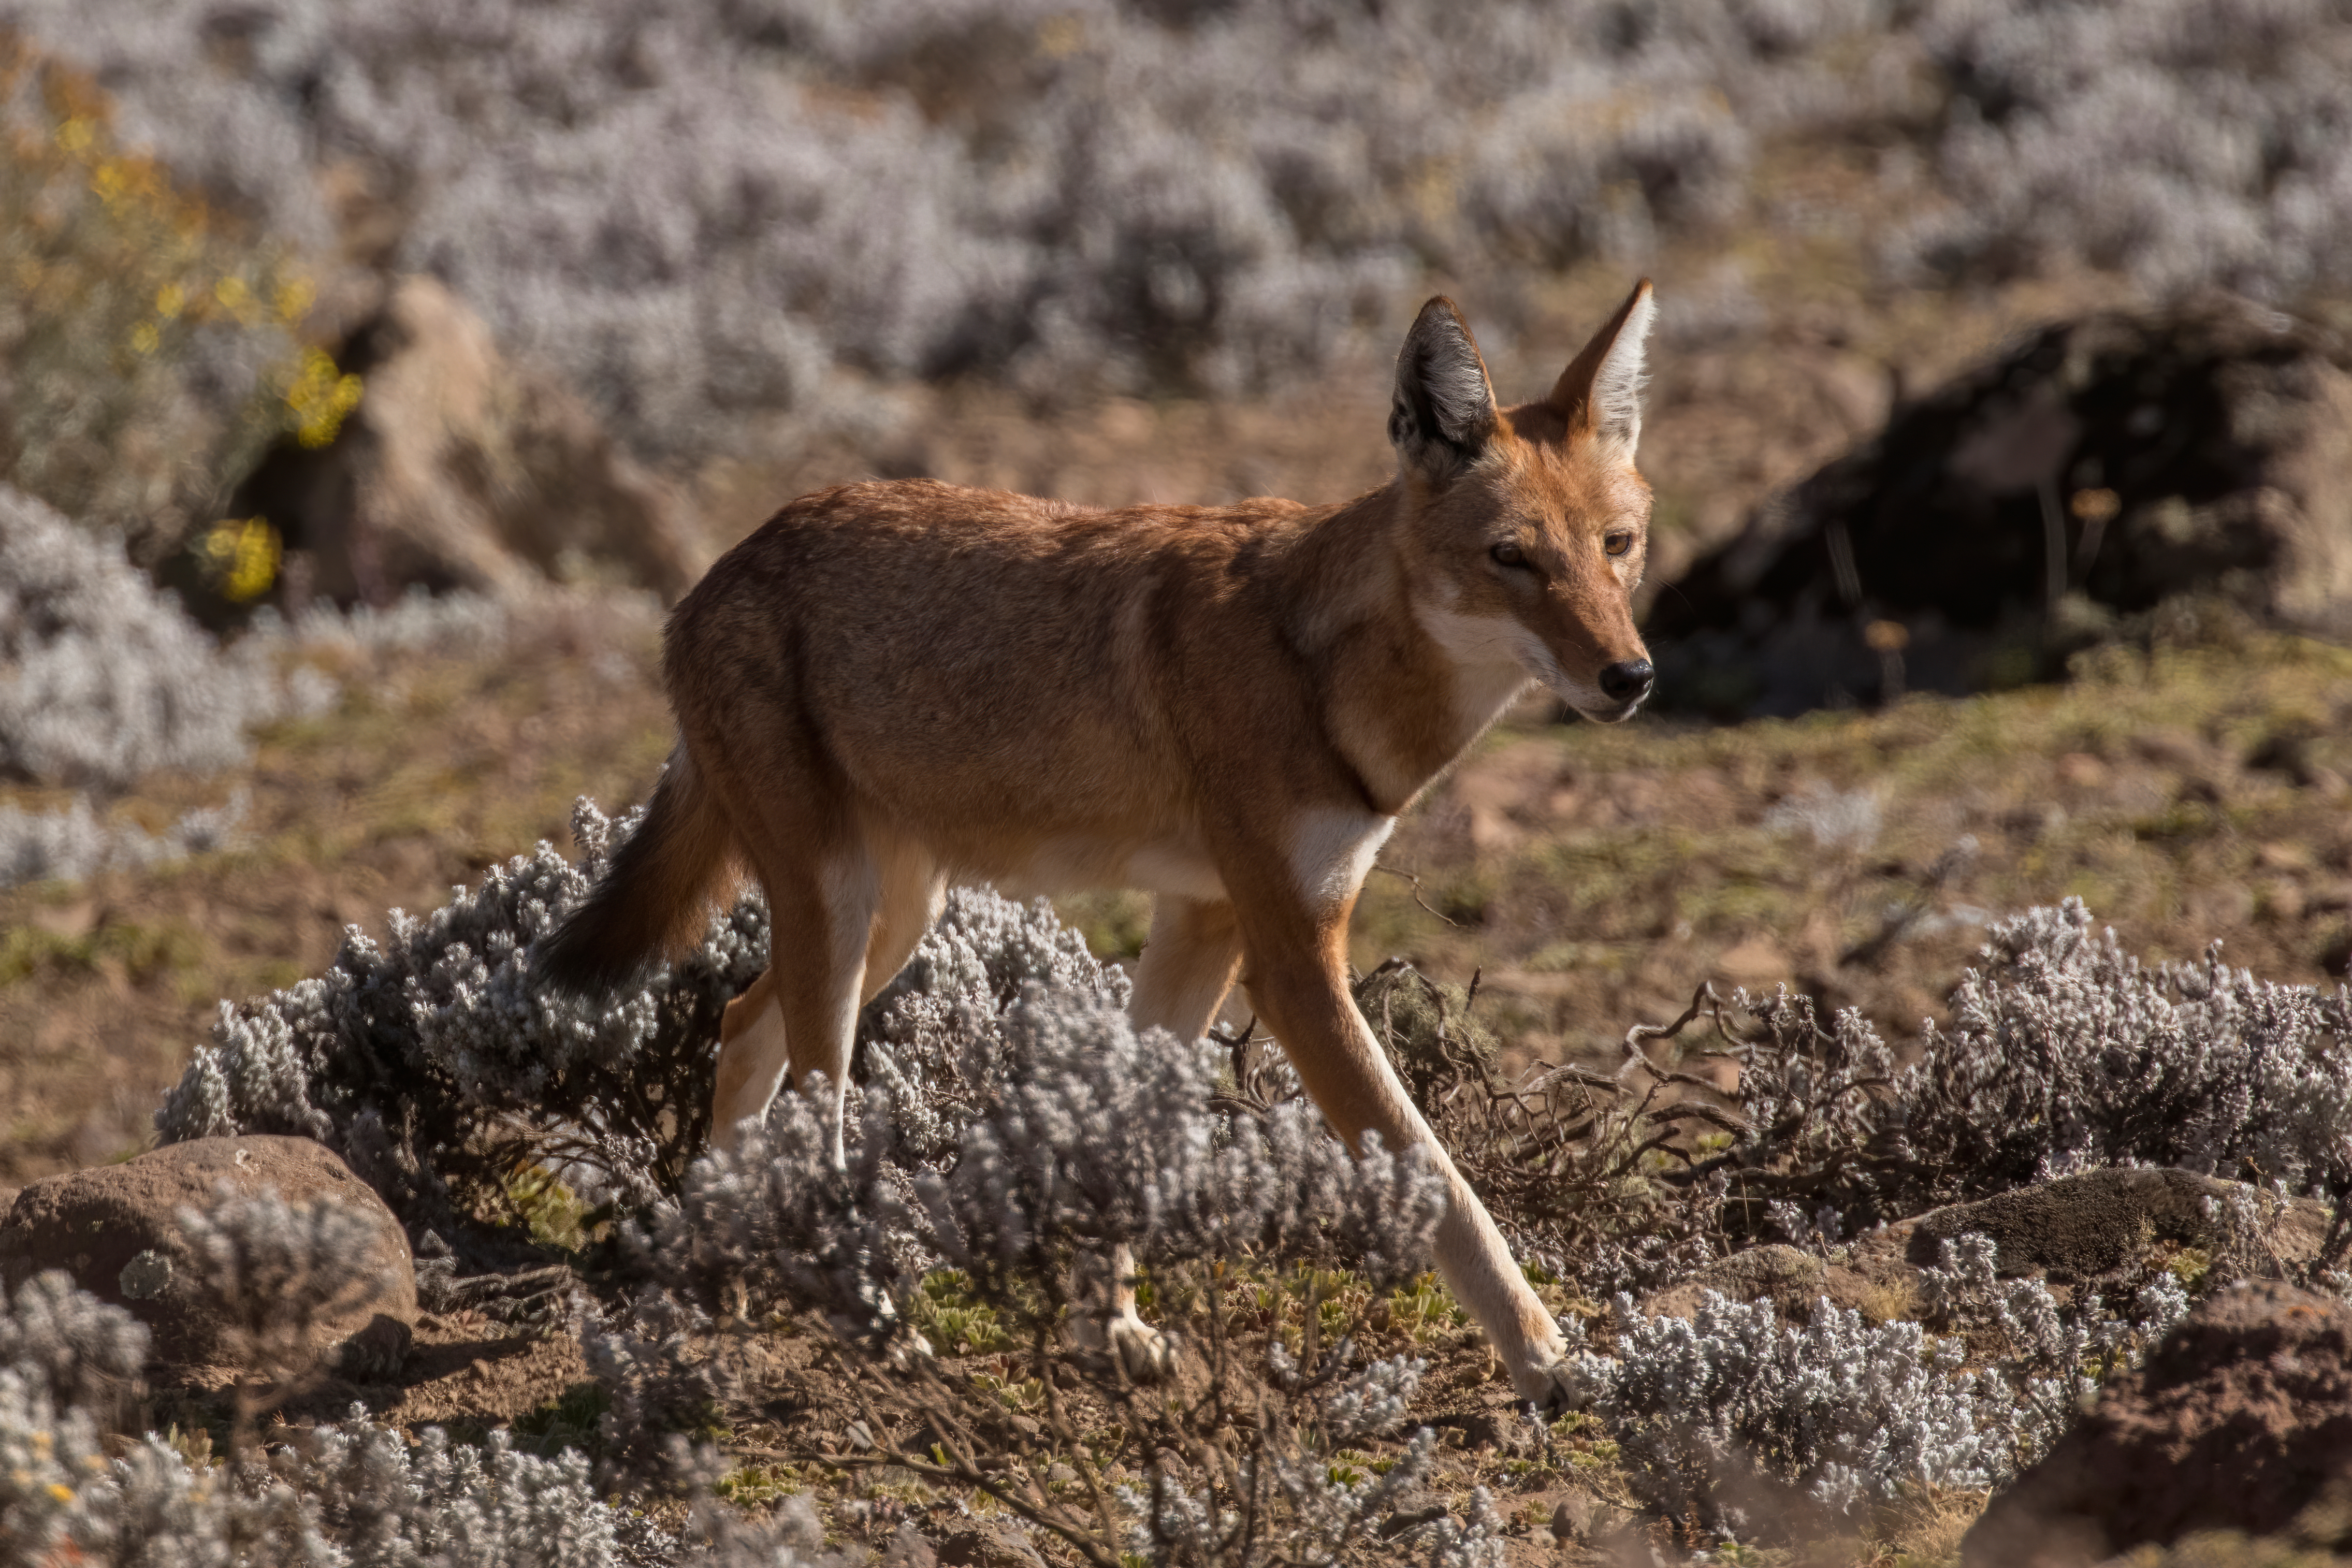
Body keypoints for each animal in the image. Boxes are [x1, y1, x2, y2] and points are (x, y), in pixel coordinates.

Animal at [541, 285, 1665, 1410]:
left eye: (1618, 545)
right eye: (1512, 557)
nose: (1631, 677)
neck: (1323, 669)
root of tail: (716, 572)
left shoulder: (1207, 923)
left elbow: (1129, 1130)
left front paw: (1110, 1327)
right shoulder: (1294, 965)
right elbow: (1440, 1180)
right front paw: (1551, 1358)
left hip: (891, 922)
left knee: (739, 1026)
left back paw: (723, 1269)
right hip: (846, 919)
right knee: (813, 1120)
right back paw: (875, 1324)